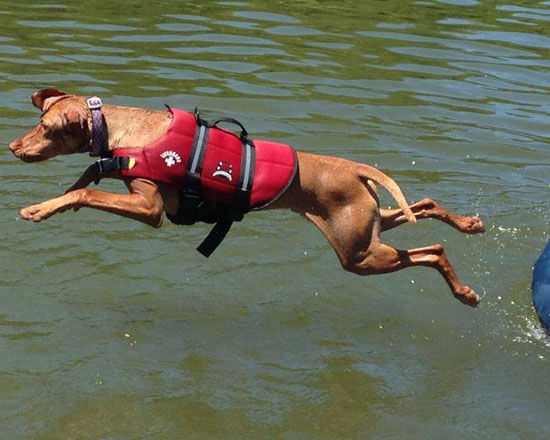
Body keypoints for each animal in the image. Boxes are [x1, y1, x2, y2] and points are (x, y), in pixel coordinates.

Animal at [9, 87, 488, 304]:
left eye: (45, 127)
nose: (12, 147)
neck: (131, 130)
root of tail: (355, 168)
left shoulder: (150, 209)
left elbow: (86, 196)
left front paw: (41, 208)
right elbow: (87, 179)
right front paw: (58, 197)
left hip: (360, 255)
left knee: (432, 250)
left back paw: (465, 292)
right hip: (364, 228)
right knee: (424, 207)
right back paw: (470, 224)